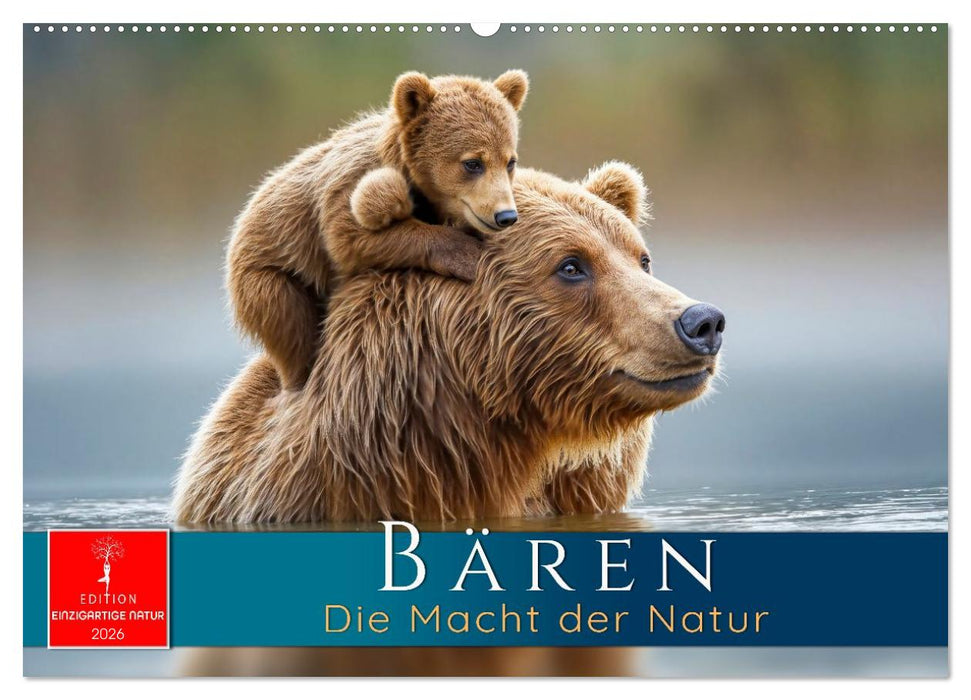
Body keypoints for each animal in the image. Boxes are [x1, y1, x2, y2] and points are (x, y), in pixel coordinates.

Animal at [227, 70, 528, 391]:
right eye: (472, 163)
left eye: (510, 161)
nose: (505, 215)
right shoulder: (350, 185)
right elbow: (348, 239)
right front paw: (466, 254)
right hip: (270, 278)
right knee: (291, 326)